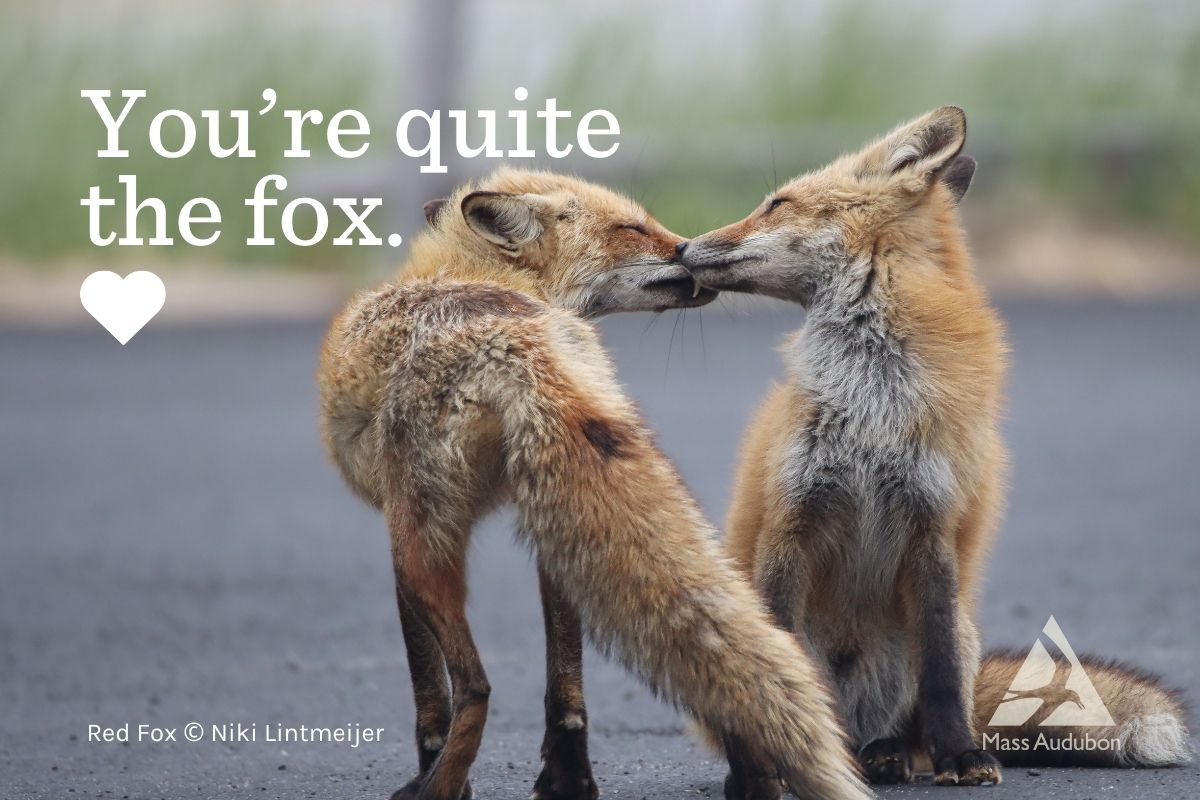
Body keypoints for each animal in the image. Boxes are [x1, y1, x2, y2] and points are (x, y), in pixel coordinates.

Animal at [317, 168, 872, 800]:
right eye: (633, 229)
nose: (692, 248)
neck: (476, 276)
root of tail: (509, 337)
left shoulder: (392, 527)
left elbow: (427, 688)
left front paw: (437, 765)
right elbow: (565, 673)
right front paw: (566, 774)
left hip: (421, 547)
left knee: (476, 687)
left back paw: (438, 786)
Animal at [679, 107, 1191, 790]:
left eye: (776, 204)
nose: (680, 247)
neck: (871, 402)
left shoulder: (933, 527)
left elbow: (942, 671)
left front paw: (961, 756)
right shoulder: (790, 520)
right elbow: (772, 668)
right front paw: (759, 775)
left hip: (946, 635)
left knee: (912, 720)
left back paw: (891, 754)